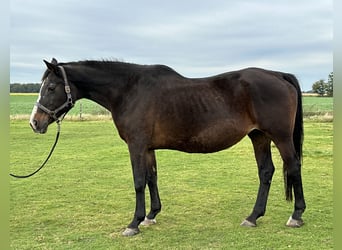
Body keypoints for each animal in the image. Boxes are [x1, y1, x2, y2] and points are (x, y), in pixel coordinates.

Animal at [30, 58, 308, 236]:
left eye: (51, 87)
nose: (35, 122)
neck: (129, 90)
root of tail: (278, 75)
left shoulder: (136, 145)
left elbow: (138, 181)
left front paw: (134, 223)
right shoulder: (148, 148)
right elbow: (152, 178)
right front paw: (151, 216)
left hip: (280, 137)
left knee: (293, 167)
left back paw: (296, 216)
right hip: (259, 136)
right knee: (266, 172)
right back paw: (252, 217)